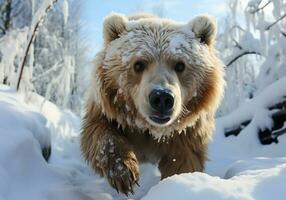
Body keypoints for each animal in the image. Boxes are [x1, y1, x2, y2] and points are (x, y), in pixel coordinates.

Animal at [80, 12, 223, 195]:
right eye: (138, 64)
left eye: (180, 65)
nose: (162, 98)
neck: (151, 129)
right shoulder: (108, 108)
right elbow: (99, 132)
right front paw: (124, 172)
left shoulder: (187, 132)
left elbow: (183, 160)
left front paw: (176, 184)